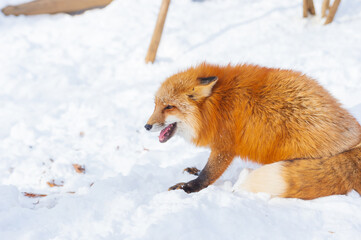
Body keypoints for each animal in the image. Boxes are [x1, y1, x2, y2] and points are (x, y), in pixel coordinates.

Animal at [144, 62, 360, 200]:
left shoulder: (225, 145)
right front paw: (193, 172)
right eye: (155, 105)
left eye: (169, 107)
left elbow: (209, 173)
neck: (217, 105)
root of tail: (354, 138)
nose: (146, 126)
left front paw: (189, 188)